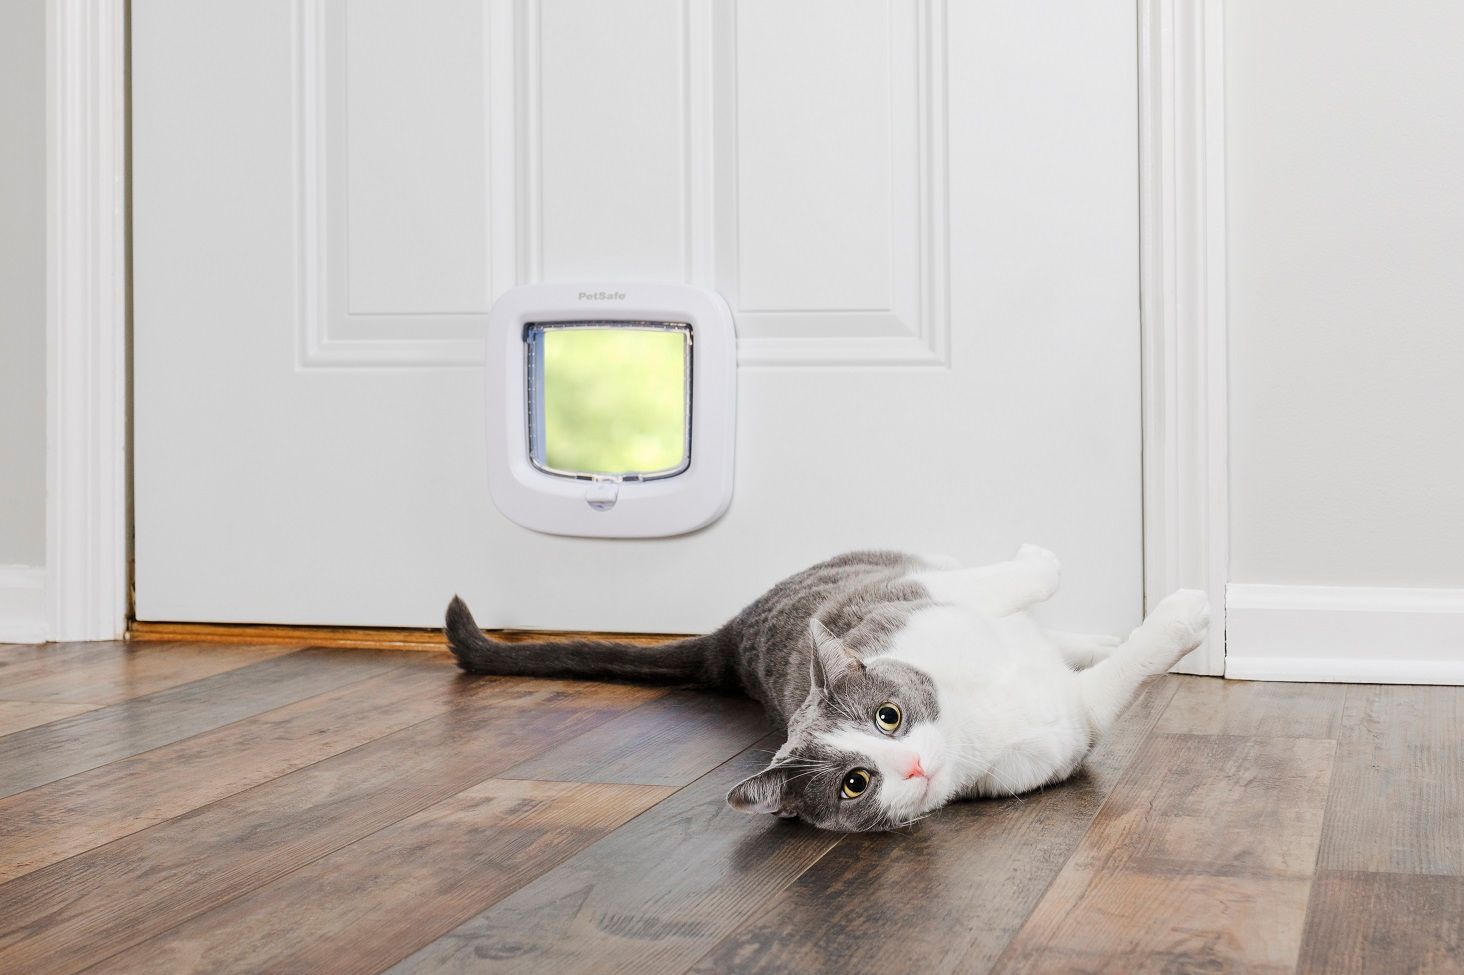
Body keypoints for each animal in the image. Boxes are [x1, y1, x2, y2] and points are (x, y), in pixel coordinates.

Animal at [445, 545, 1209, 832]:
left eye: (889, 714)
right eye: (854, 783)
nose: (913, 765)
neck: (970, 718)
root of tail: (725, 642)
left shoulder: (921, 603)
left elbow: (1015, 580)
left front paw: (1042, 562)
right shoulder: (1071, 729)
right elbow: (1117, 679)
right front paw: (1182, 618)